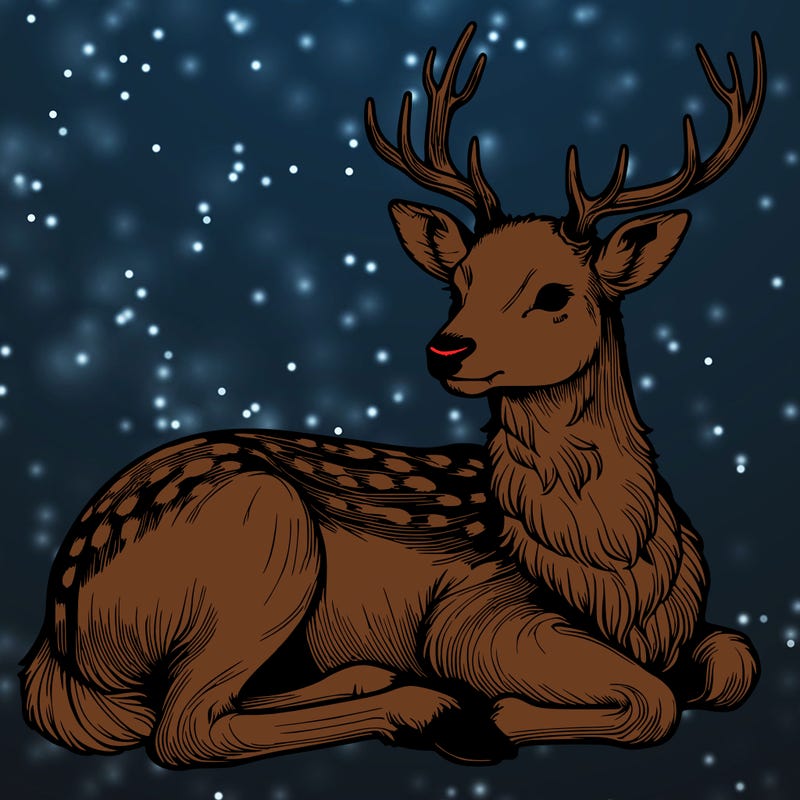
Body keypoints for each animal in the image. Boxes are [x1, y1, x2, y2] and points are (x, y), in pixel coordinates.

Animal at [20, 22, 765, 768]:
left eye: (554, 293)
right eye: (460, 281)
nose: (447, 348)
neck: (616, 572)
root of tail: (55, 639)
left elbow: (736, 660)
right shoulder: (475, 615)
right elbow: (654, 699)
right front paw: (495, 716)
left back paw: (374, 677)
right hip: (264, 540)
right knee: (183, 727)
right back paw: (431, 710)